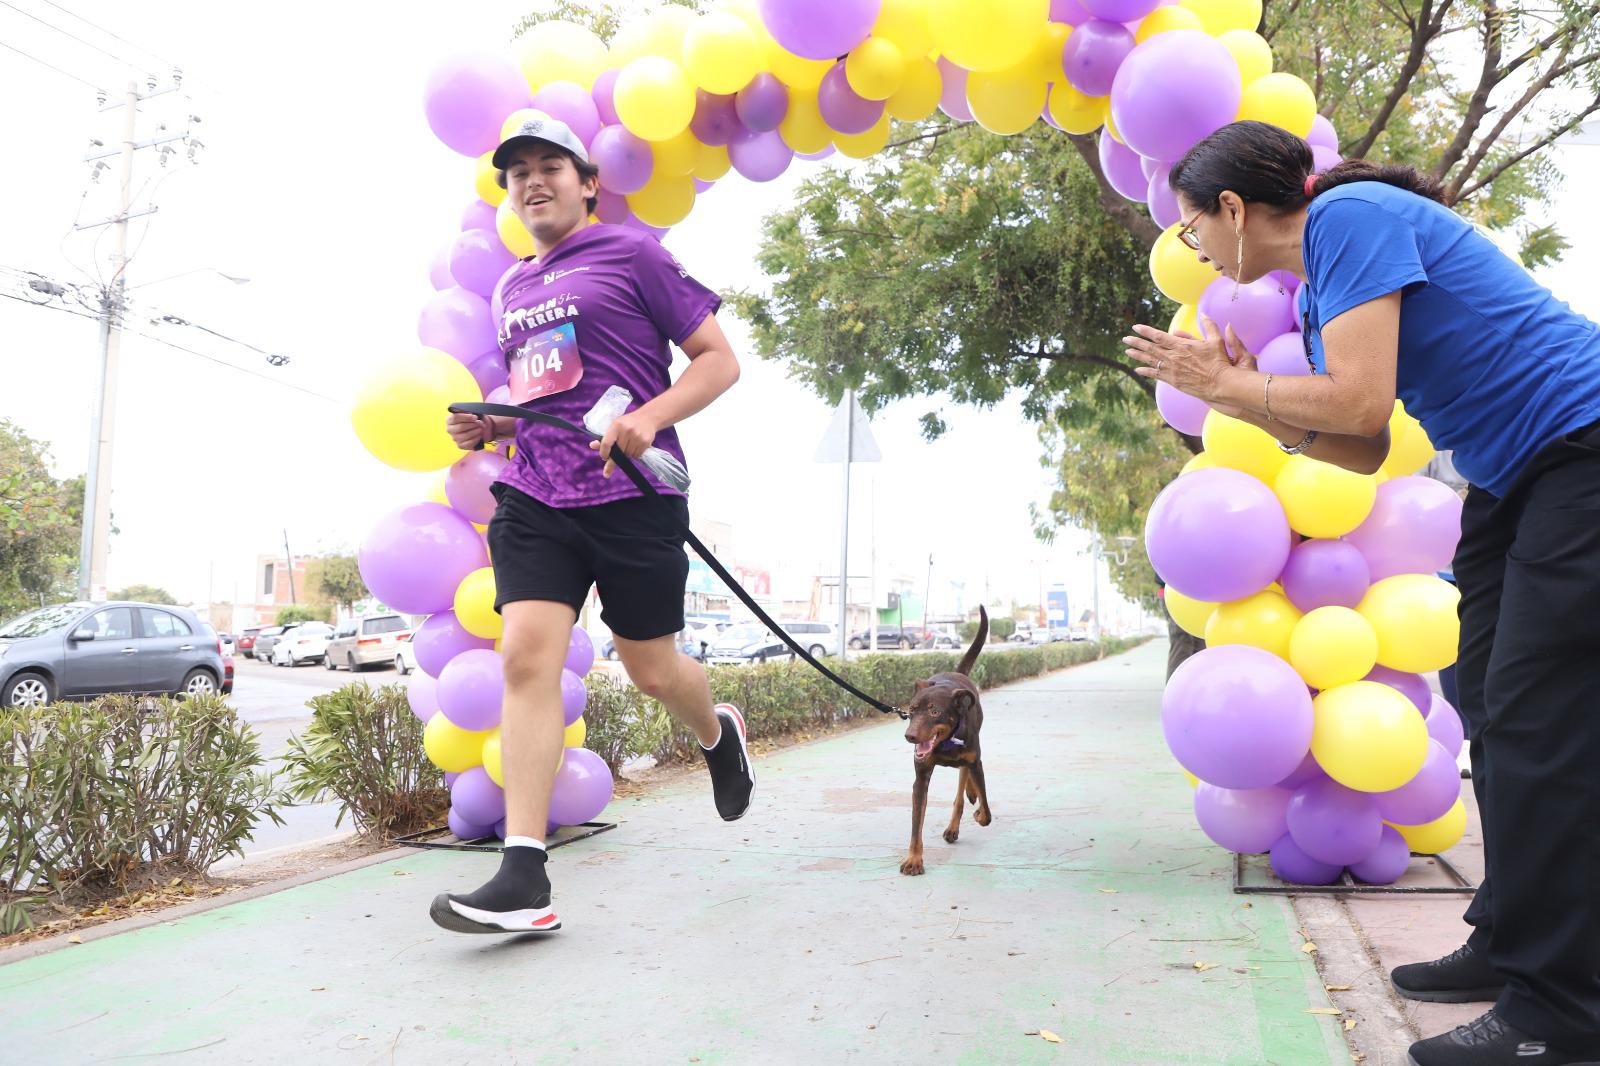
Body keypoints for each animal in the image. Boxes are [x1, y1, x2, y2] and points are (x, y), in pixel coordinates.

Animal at [902, 605, 985, 870]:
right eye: (912, 709)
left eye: (935, 712)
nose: (910, 736)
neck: (946, 743)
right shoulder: (921, 778)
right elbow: (916, 824)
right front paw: (914, 859)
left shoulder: (975, 759)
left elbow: (986, 810)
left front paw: (980, 812)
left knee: (963, 783)